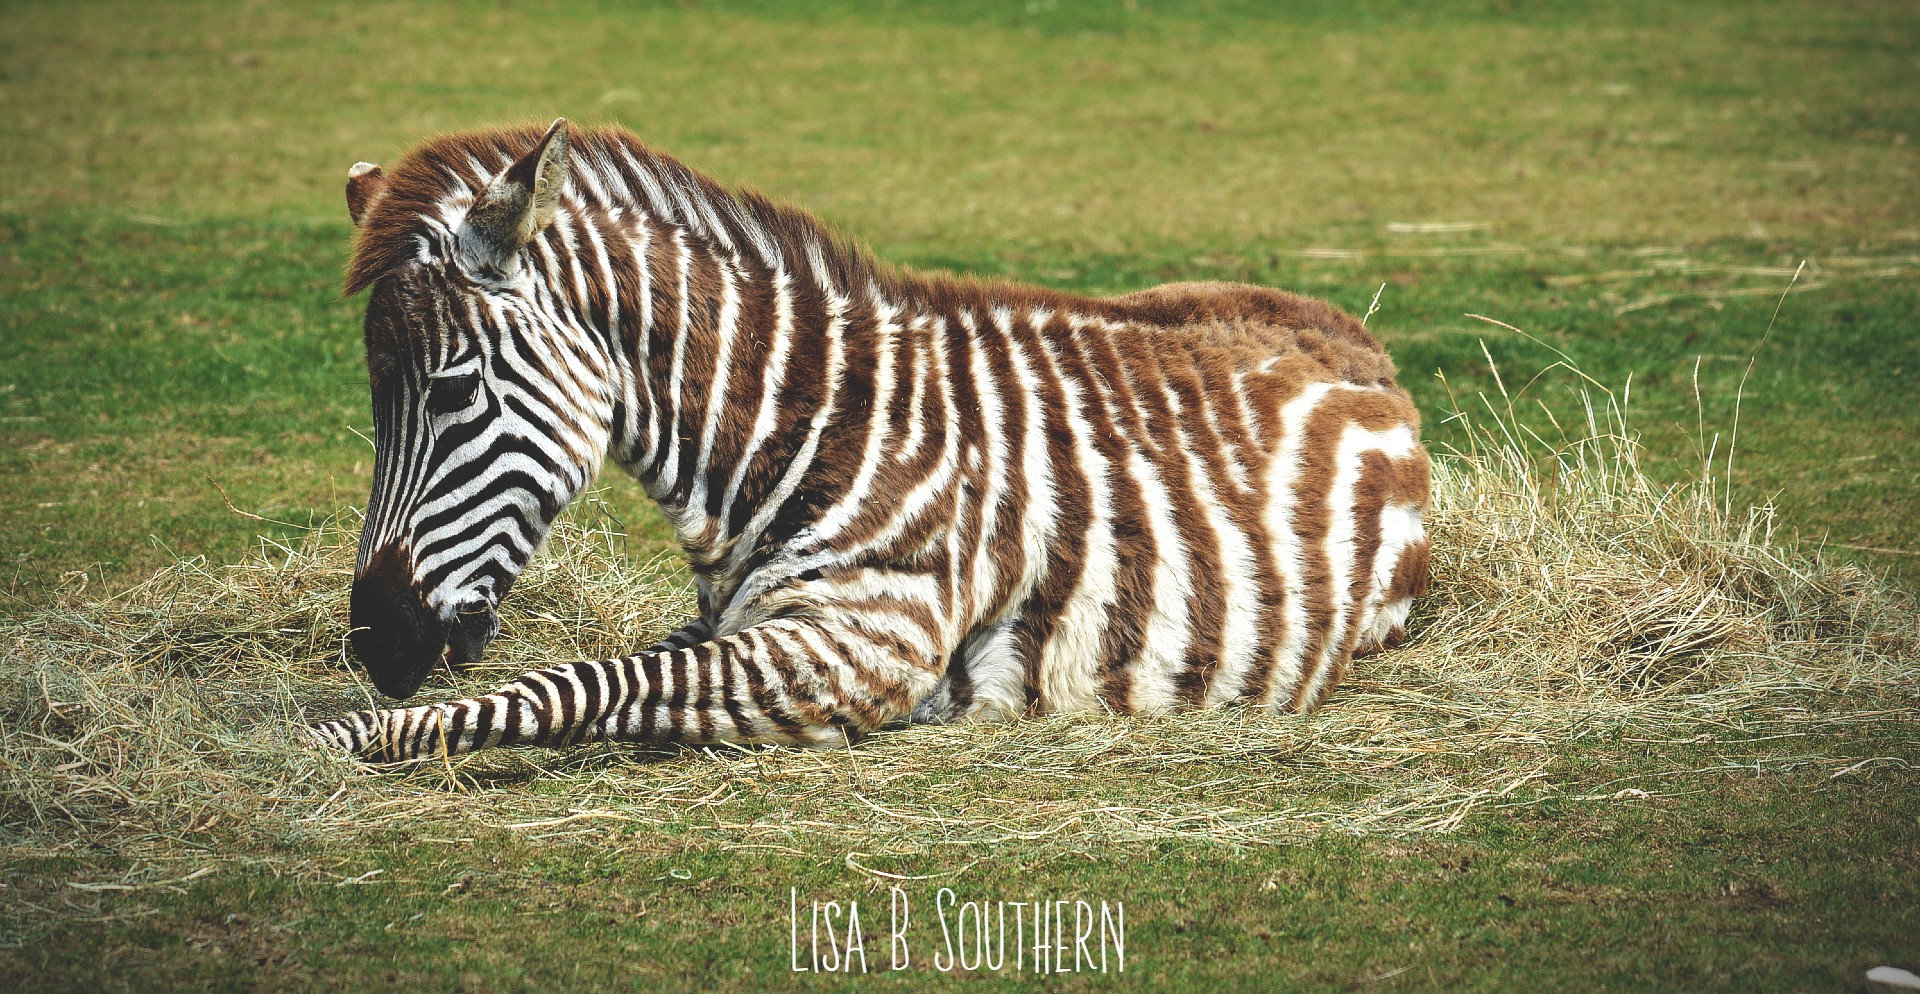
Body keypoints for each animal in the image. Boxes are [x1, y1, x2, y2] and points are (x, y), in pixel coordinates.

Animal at [308, 119, 1431, 763]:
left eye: (451, 391)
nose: (375, 642)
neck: (804, 428)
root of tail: (1354, 334)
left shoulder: (860, 647)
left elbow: (584, 686)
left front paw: (340, 733)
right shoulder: (745, 623)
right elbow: (599, 673)